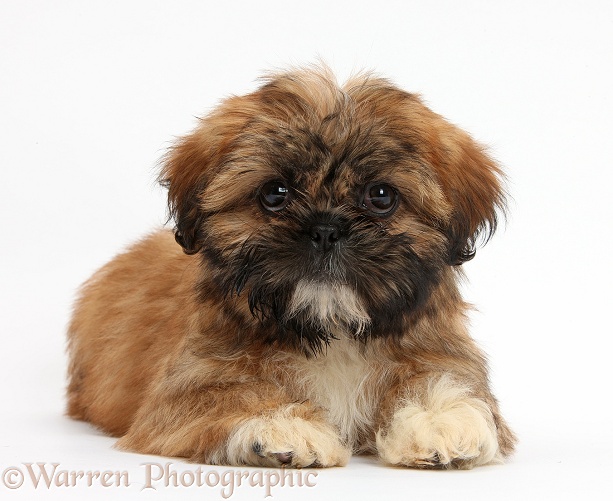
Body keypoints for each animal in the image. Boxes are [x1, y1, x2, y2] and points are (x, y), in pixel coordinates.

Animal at [65, 66, 516, 468]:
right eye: (275, 193)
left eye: (381, 196)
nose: (325, 229)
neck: (333, 332)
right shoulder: (186, 388)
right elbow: (231, 394)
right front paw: (278, 424)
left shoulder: (437, 350)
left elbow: (441, 382)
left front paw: (441, 419)